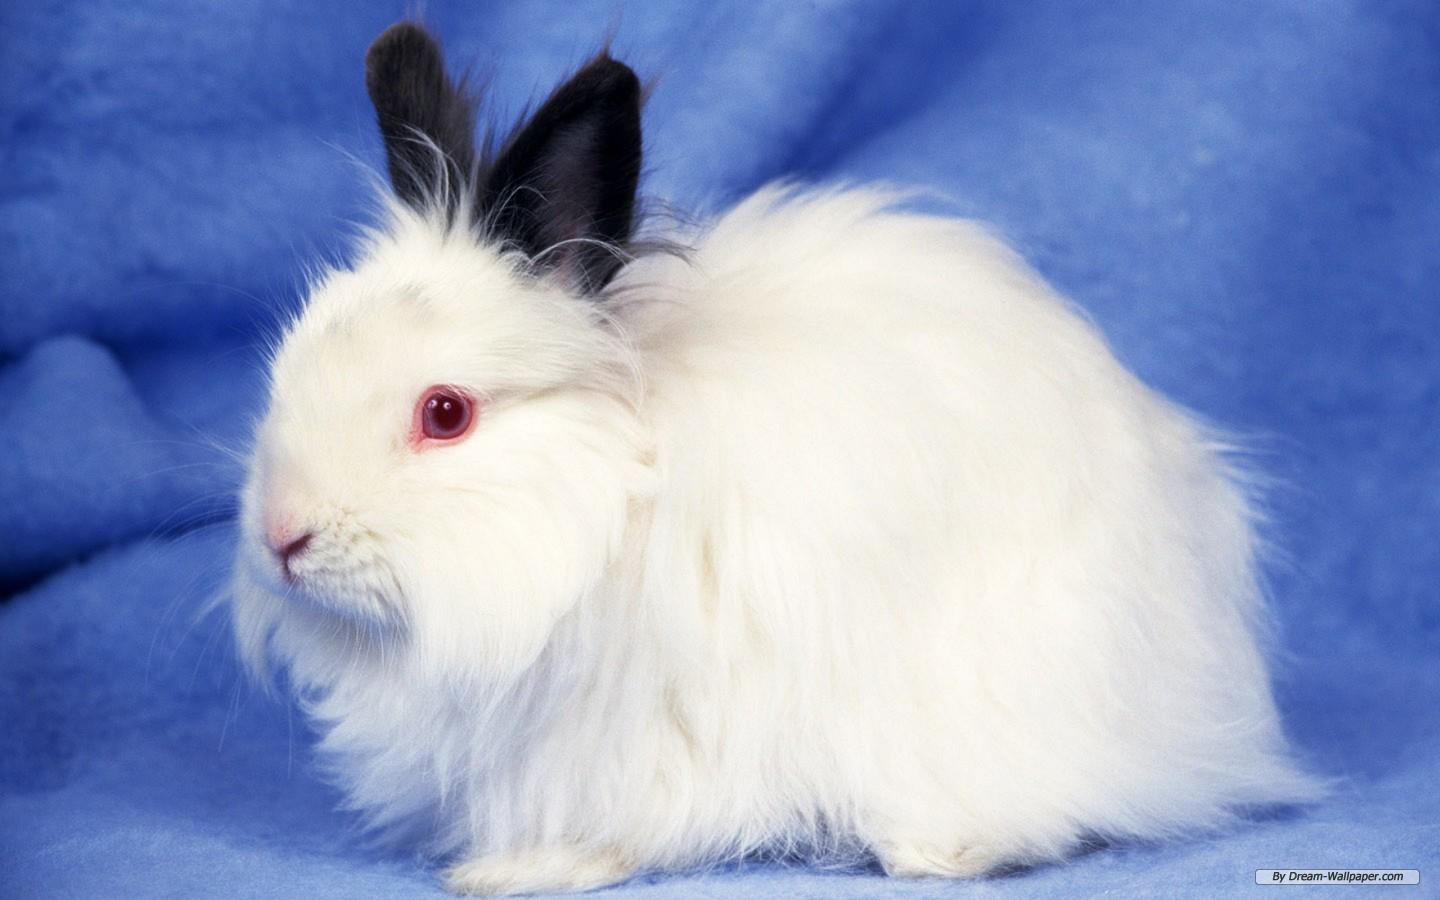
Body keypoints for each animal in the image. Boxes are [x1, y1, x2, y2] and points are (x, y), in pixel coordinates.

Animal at [228, 21, 1322, 896]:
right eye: (288, 365)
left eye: (445, 413)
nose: (282, 538)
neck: (616, 497)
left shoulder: (645, 728)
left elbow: (626, 813)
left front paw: (519, 871)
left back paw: (939, 851)